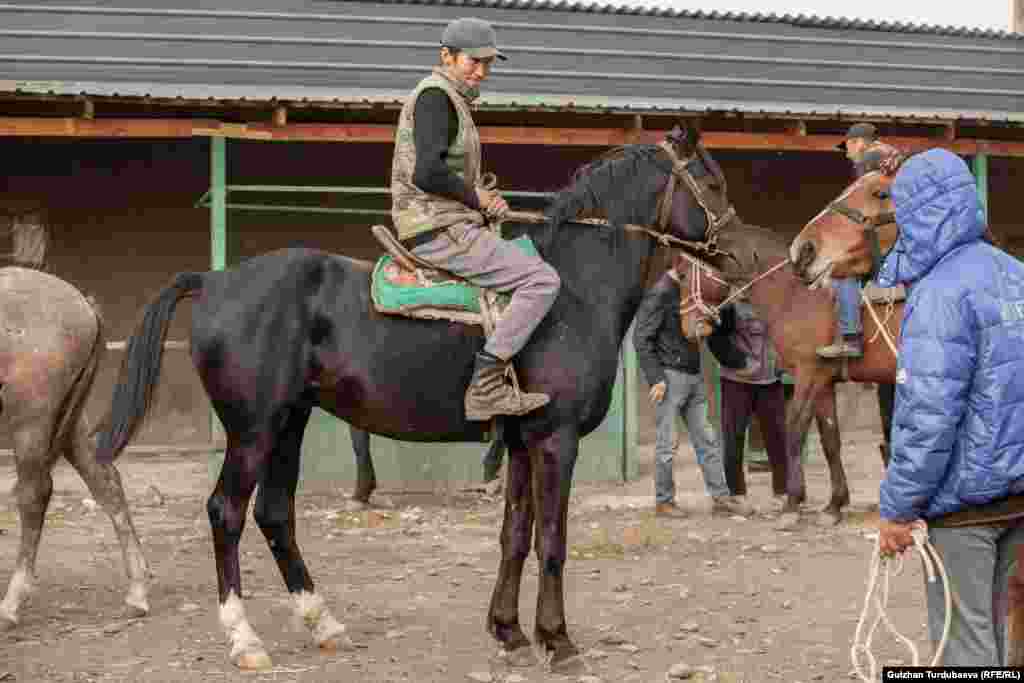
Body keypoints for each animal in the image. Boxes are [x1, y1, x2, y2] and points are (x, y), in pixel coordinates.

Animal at [0, 211, 149, 630]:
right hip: (69, 424)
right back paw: (137, 593)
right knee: (106, 482)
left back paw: (11, 604)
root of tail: (83, 303)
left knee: (35, 493)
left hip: (31, 421)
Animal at [97, 124, 745, 671]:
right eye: (712, 182)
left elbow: (515, 536)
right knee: (226, 513)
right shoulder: (554, 440)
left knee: (274, 513)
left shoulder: (520, 443)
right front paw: (557, 641)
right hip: (253, 430)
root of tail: (215, 279)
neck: (570, 294)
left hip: (289, 424)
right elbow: (552, 542)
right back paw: (244, 638)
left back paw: (321, 621)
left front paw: (509, 631)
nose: (743, 257)